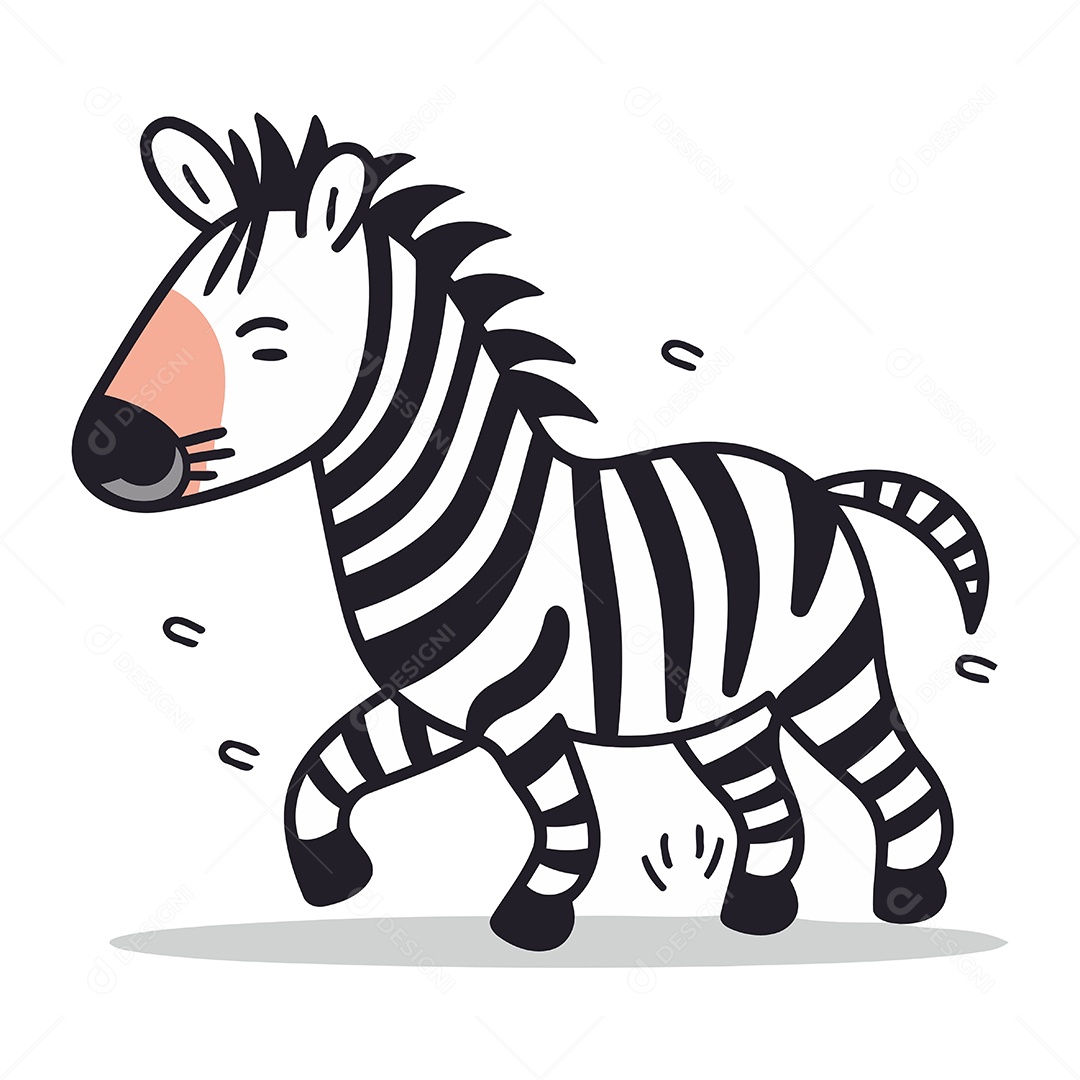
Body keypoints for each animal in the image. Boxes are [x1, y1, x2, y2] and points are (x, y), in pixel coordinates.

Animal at [73, 115, 989, 952]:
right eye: (157, 310)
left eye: (269, 341)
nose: (106, 450)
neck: (454, 511)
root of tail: (814, 487)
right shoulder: (439, 701)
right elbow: (329, 764)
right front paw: (332, 873)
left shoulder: (521, 713)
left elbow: (567, 817)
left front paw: (533, 916)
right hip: (719, 709)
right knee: (769, 801)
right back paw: (758, 910)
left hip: (825, 675)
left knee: (894, 776)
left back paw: (908, 893)